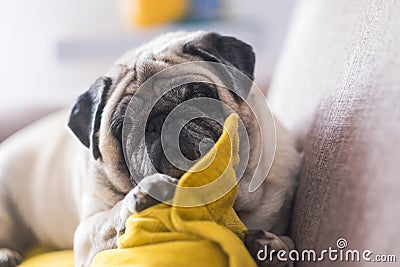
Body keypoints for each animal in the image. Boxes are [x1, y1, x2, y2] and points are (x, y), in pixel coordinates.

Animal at [0, 30, 300, 266]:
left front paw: (274, 246)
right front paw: (147, 194)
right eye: (123, 127)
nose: (159, 121)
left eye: (197, 95)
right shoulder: (86, 234)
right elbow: (114, 216)